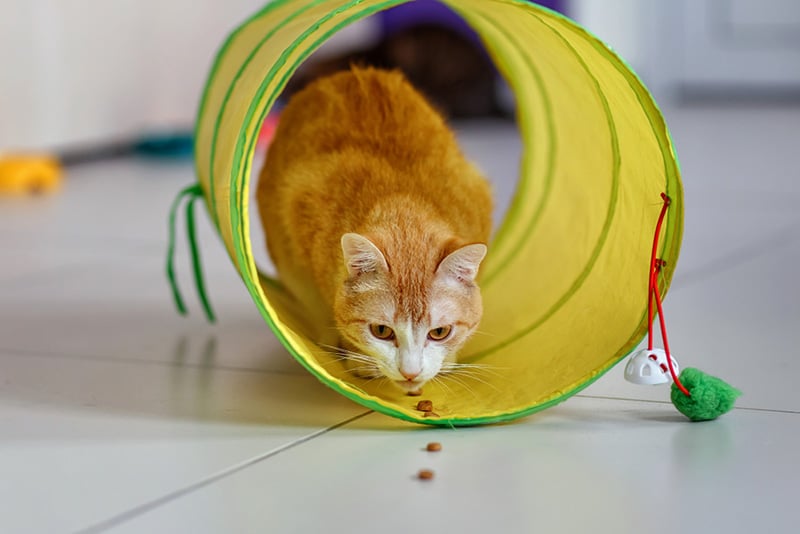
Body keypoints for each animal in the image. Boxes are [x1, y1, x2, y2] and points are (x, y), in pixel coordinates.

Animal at [256, 66, 494, 394]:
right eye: (381, 330)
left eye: (440, 332)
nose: (411, 373)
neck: (405, 205)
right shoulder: (296, 208)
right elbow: (320, 304)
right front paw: (354, 355)